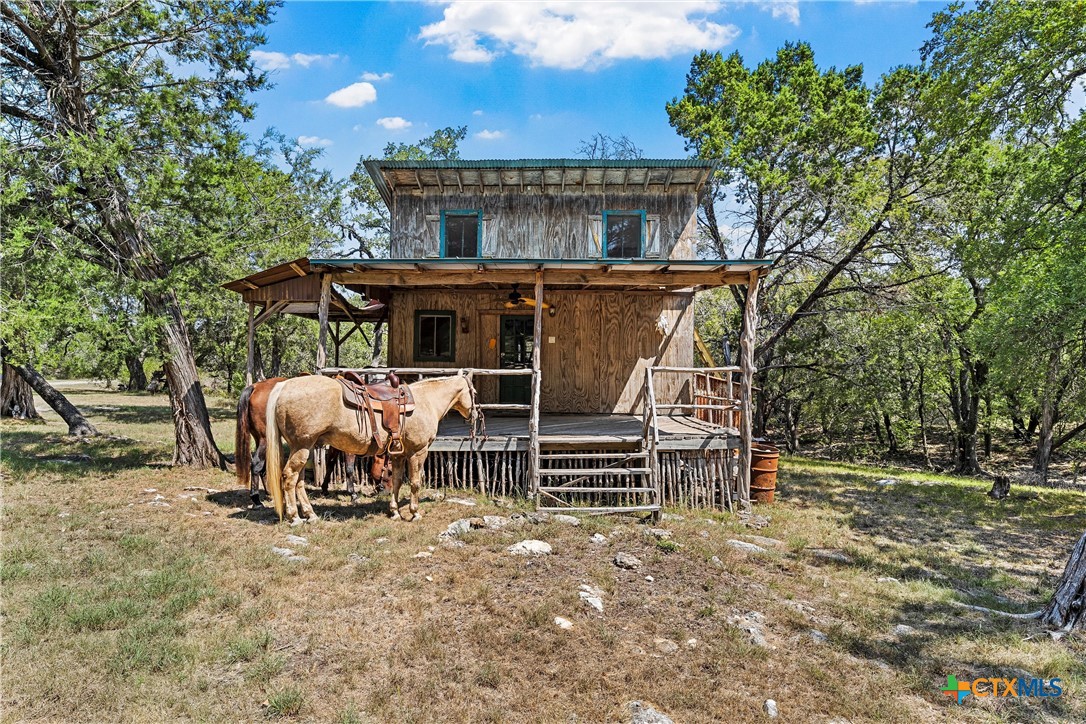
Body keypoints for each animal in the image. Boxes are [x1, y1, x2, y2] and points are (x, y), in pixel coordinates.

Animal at [262, 373, 475, 521]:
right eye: (474, 392)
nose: (474, 415)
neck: (426, 401)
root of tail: (284, 385)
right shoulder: (418, 451)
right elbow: (415, 482)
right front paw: (414, 513)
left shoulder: (398, 454)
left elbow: (397, 481)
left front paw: (394, 512)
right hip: (302, 446)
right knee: (290, 477)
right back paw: (294, 516)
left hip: (304, 448)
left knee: (298, 481)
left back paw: (310, 514)